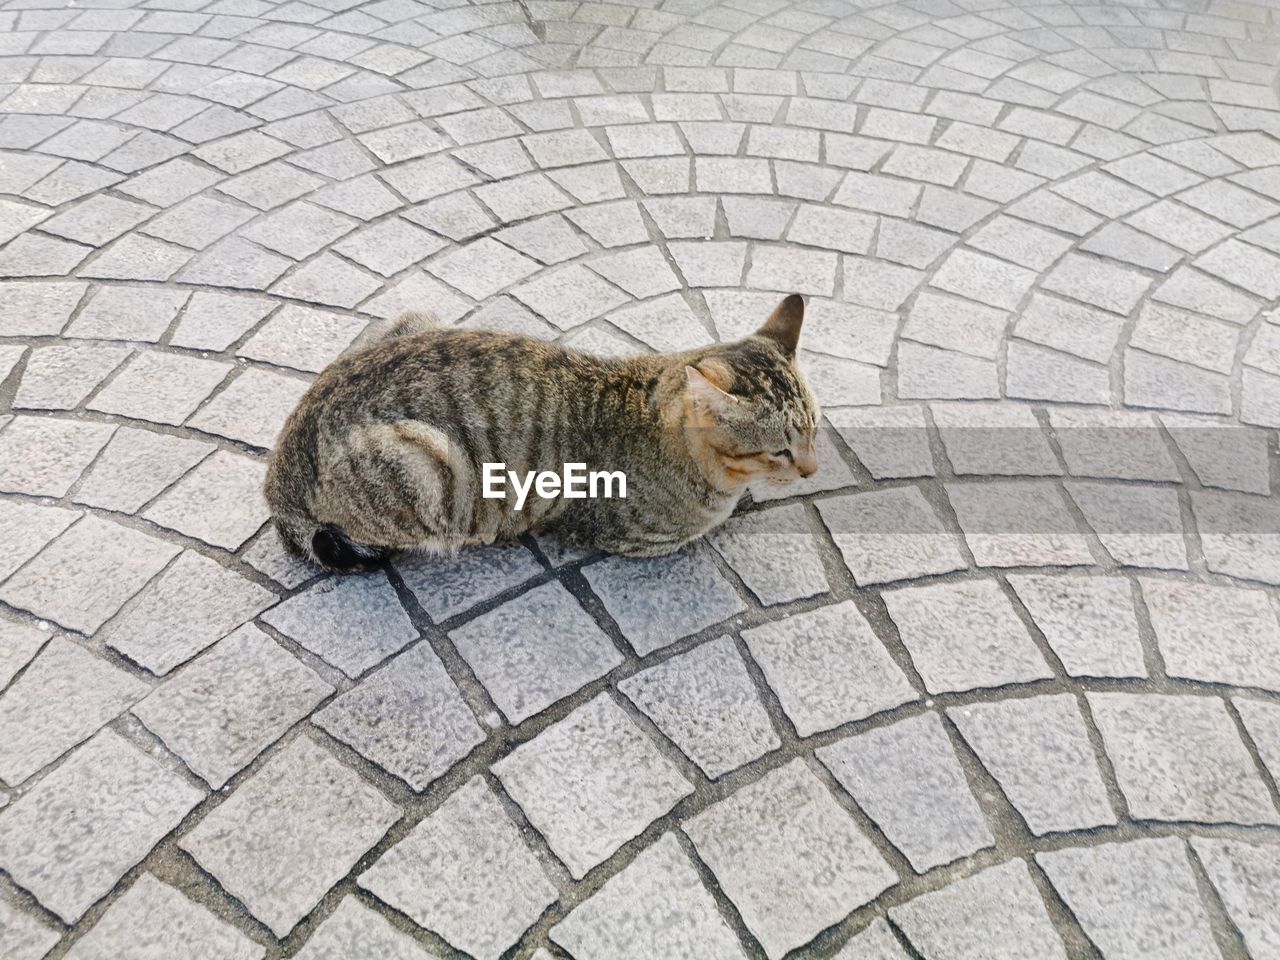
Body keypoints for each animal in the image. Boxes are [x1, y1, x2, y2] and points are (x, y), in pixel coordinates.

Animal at [267, 293, 819, 576]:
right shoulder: (634, 538)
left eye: (814, 433)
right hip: (430, 466)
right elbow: (708, 525)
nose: (813, 469)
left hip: (413, 317)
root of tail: (278, 481)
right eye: (780, 450)